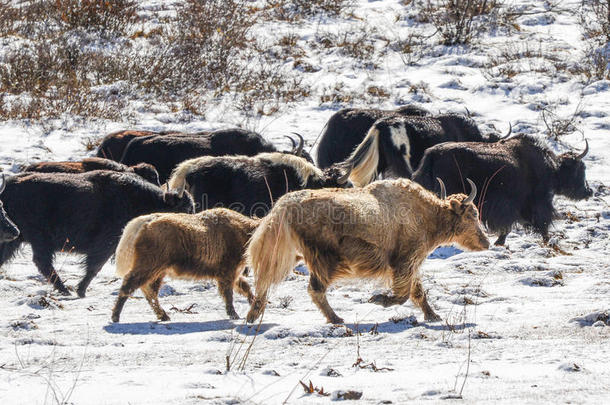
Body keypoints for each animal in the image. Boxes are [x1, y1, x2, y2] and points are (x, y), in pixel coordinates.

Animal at [110, 208, 258, 322]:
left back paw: (163, 316)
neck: (244, 233)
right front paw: (233, 314)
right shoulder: (227, 273)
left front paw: (255, 303)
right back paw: (115, 316)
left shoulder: (234, 274)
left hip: (158, 271)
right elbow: (229, 294)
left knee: (149, 291)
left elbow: (245, 288)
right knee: (130, 284)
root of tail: (144, 223)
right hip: (149, 266)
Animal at [245, 177, 486, 322]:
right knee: (315, 289)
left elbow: (417, 291)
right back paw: (336, 319)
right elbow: (403, 293)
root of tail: (284, 206)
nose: (486, 241)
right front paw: (379, 299)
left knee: (266, 278)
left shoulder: (410, 263)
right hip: (324, 259)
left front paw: (433, 315)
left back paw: (253, 314)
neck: (427, 215)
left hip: (293, 254)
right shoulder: (405, 261)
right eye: (472, 214)